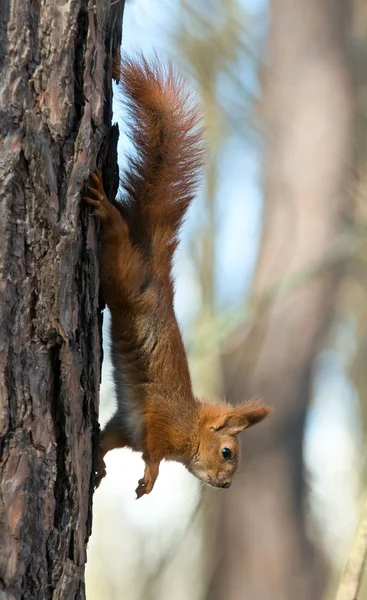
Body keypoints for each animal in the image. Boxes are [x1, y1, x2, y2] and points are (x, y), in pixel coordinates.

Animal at [83, 56, 270, 500]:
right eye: (227, 453)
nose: (226, 485)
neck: (189, 430)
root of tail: (158, 277)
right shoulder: (158, 423)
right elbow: (152, 453)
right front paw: (151, 478)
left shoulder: (126, 426)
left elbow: (109, 437)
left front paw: (98, 463)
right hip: (125, 275)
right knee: (117, 236)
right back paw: (106, 210)